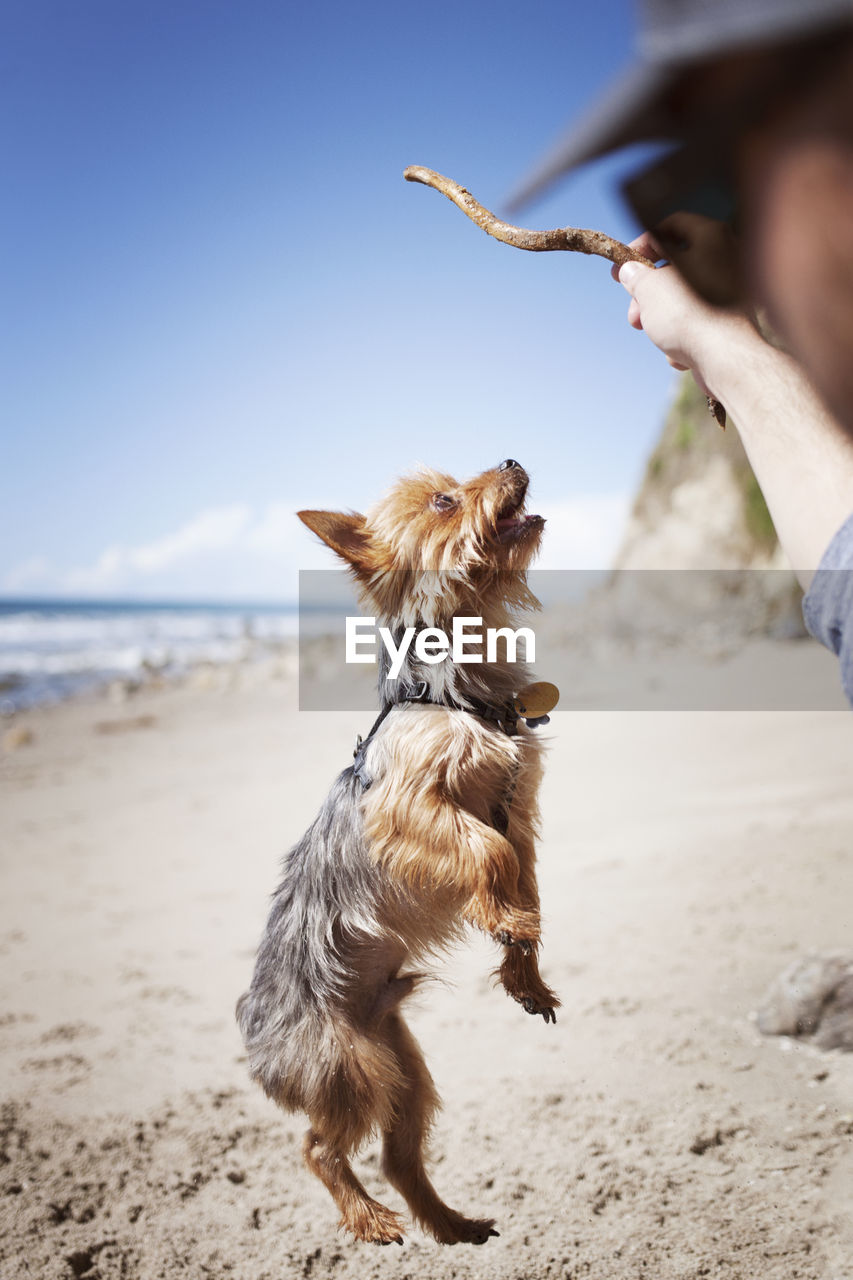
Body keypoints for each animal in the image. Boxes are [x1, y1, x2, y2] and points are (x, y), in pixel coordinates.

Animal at [235, 458, 560, 1239]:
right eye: (444, 501)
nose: (513, 460)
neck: (458, 687)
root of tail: (253, 1036)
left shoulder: (518, 810)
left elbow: (523, 878)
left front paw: (524, 970)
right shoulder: (409, 809)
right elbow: (488, 855)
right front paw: (507, 922)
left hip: (400, 1062)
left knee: (397, 1154)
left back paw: (451, 1225)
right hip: (348, 1069)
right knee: (320, 1147)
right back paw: (370, 1219)